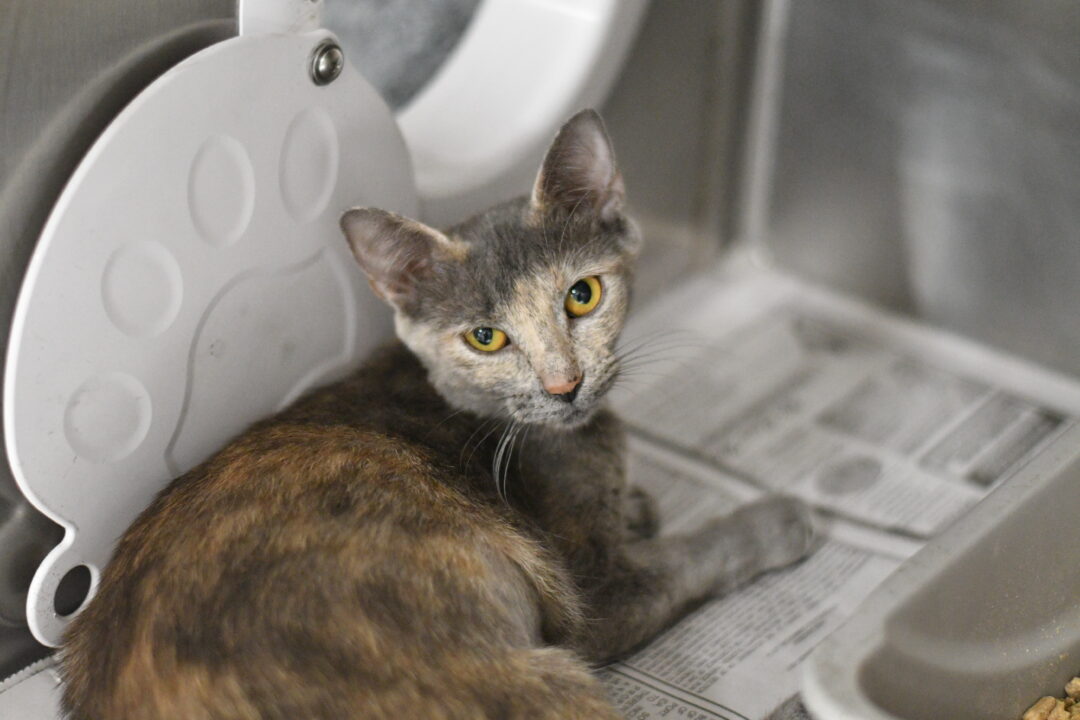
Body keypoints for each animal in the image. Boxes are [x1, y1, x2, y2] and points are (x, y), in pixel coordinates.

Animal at [60, 109, 817, 720]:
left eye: (582, 295)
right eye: (486, 338)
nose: (565, 384)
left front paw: (635, 503)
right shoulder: (599, 597)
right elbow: (696, 555)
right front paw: (778, 519)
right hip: (548, 681)